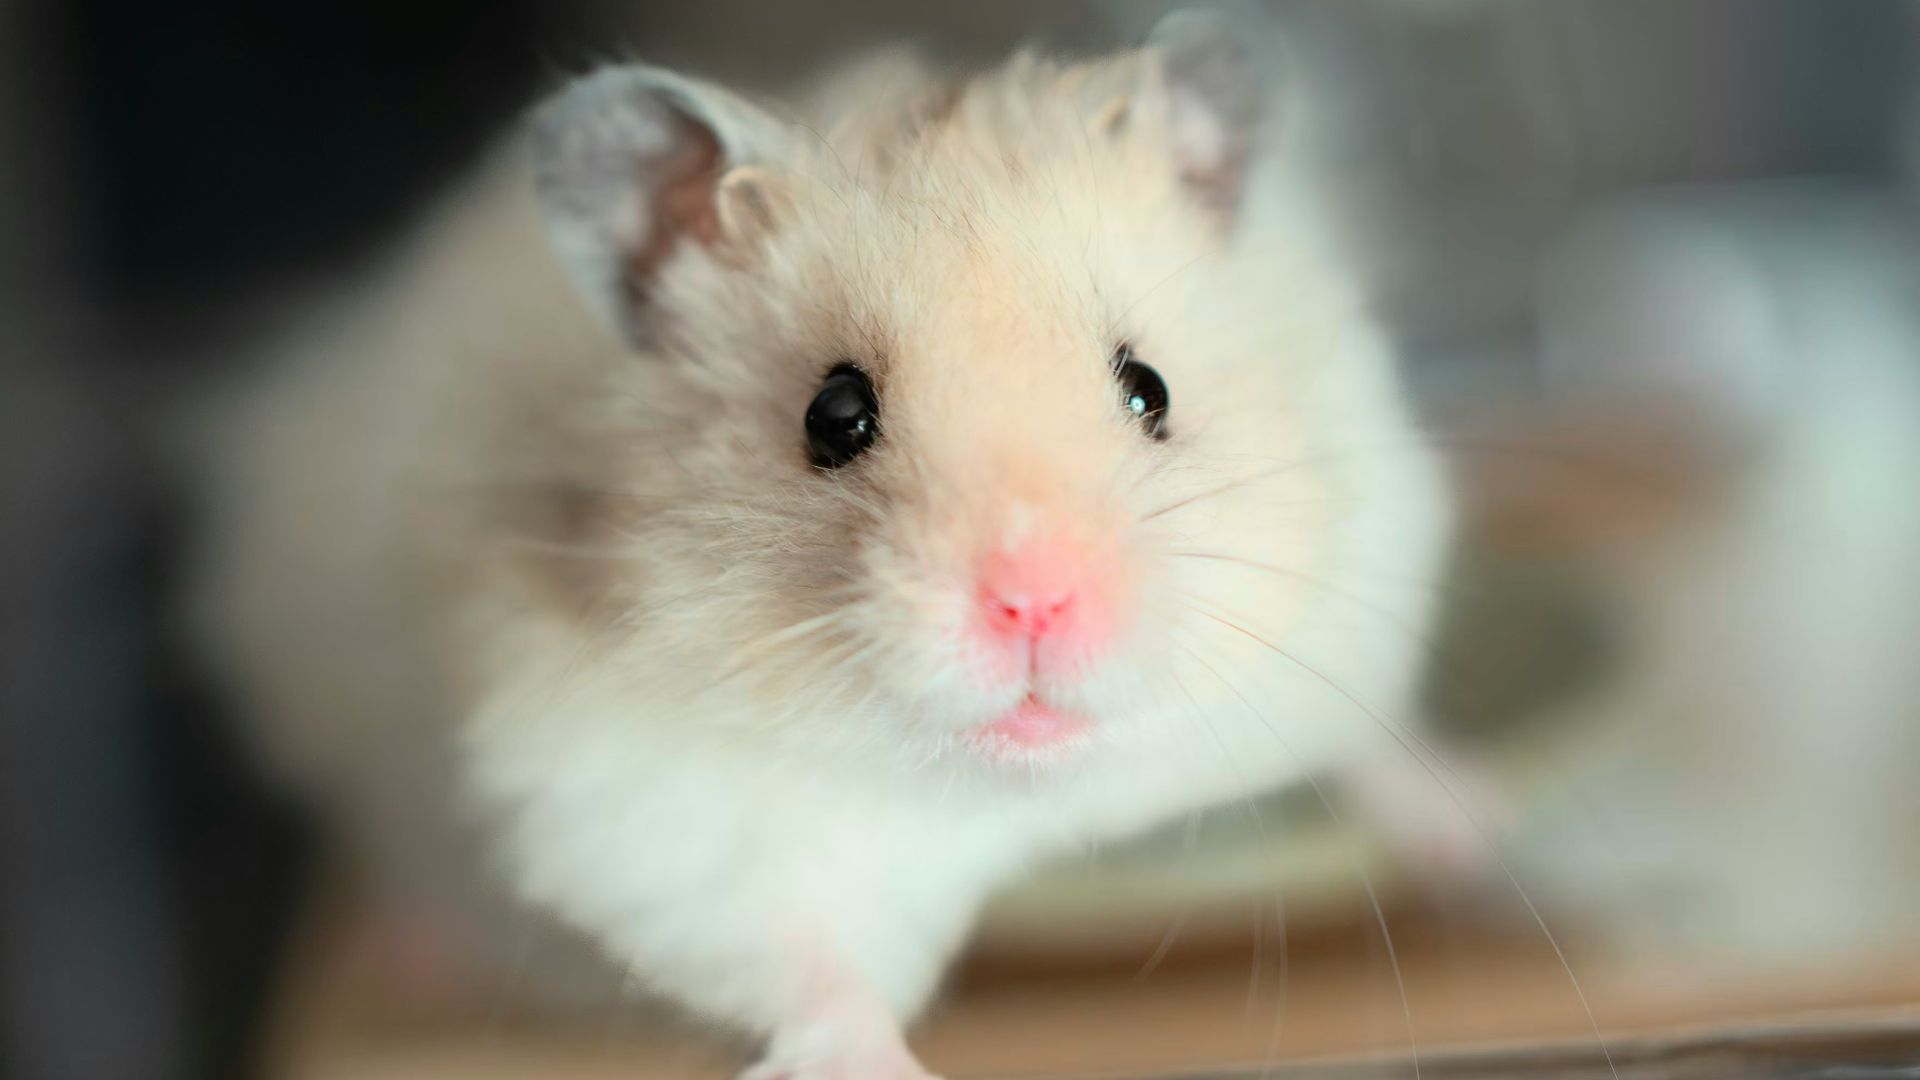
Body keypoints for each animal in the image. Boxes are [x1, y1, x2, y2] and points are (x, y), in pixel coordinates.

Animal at [189, 11, 1450, 1078]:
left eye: (1151, 390)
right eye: (834, 417)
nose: (1036, 604)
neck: (1013, 789)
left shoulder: (1354, 593)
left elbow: (1372, 744)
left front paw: (1468, 835)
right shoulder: (644, 812)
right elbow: (803, 963)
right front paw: (881, 1065)